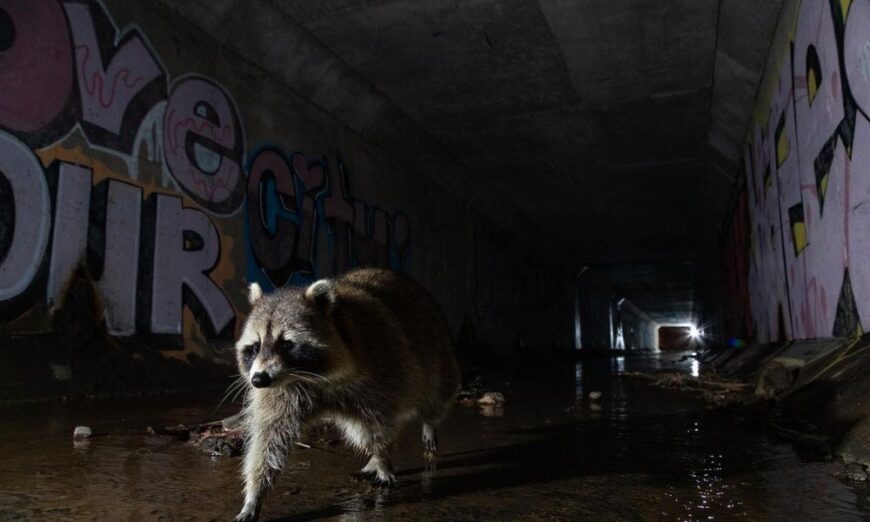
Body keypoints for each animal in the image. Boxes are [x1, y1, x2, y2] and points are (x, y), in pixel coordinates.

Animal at [233, 268, 460, 522]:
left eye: (285, 344)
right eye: (255, 347)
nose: (258, 380)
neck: (311, 377)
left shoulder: (380, 371)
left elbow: (380, 424)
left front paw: (383, 458)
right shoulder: (280, 392)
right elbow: (269, 438)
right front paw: (254, 494)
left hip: (434, 351)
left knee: (433, 393)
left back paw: (426, 424)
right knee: (358, 430)